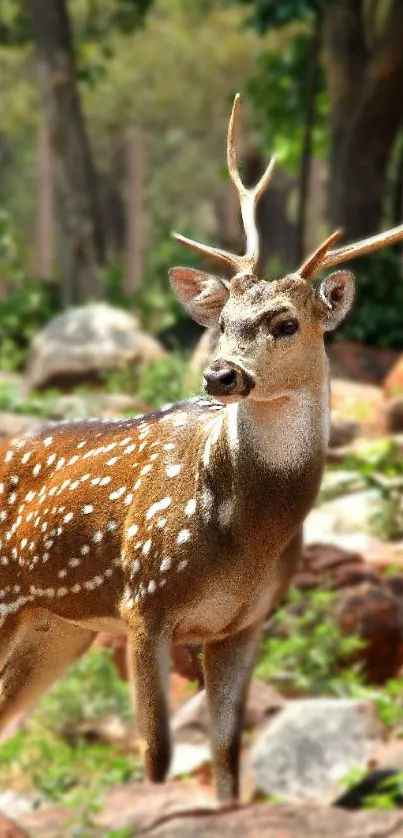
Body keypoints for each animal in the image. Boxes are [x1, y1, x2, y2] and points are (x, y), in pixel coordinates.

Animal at [0, 93, 403, 808]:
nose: (220, 375)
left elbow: (226, 758)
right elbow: (156, 755)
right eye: (223, 321)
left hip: (57, 625)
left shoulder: (245, 624)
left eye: (285, 322)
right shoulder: (142, 600)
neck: (241, 541)